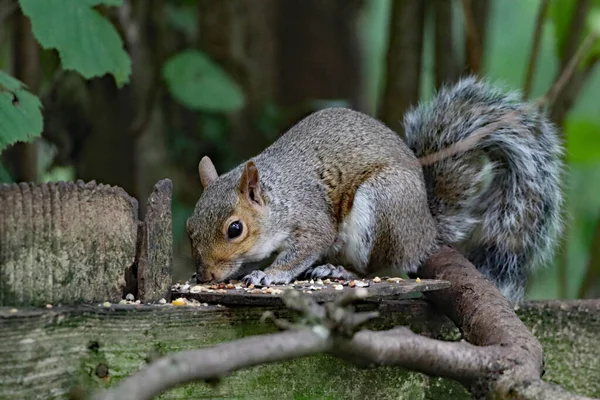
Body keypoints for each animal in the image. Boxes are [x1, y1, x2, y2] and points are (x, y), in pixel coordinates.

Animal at [186, 76, 564, 300]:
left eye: (235, 229)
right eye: (189, 227)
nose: (205, 274)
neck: (279, 197)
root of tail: (425, 230)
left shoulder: (311, 217)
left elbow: (305, 246)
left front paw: (269, 275)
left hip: (382, 207)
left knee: (378, 267)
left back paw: (339, 270)